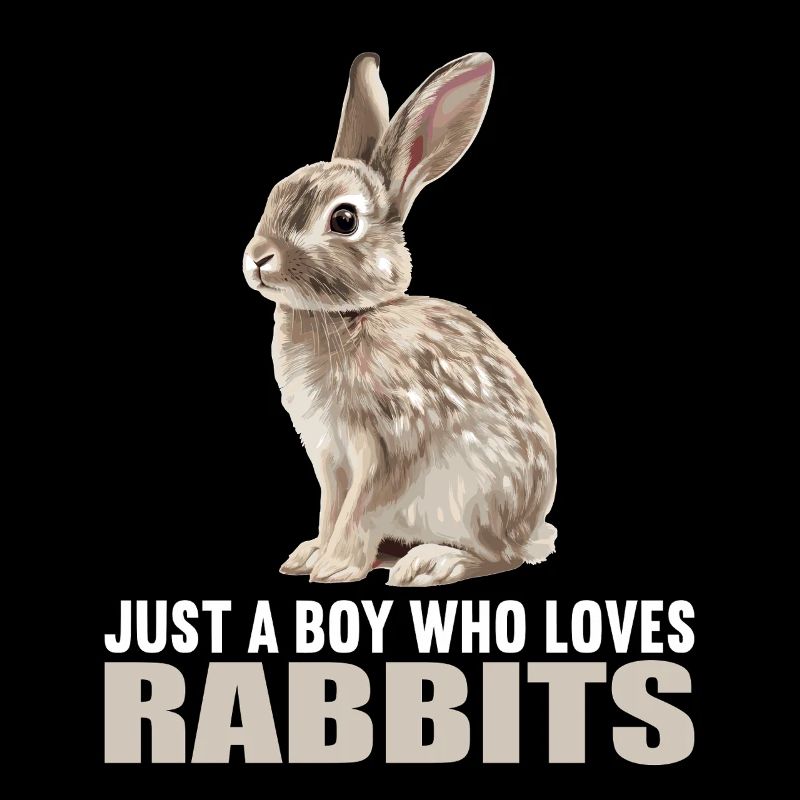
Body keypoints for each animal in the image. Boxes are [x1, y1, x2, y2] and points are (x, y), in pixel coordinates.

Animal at [242, 52, 557, 586]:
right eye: (277, 192)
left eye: (344, 220)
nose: (258, 258)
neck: (352, 315)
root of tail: (532, 527)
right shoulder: (330, 459)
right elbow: (332, 509)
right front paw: (309, 556)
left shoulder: (387, 447)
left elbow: (359, 510)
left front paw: (334, 567)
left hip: (475, 500)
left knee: (501, 556)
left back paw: (432, 562)